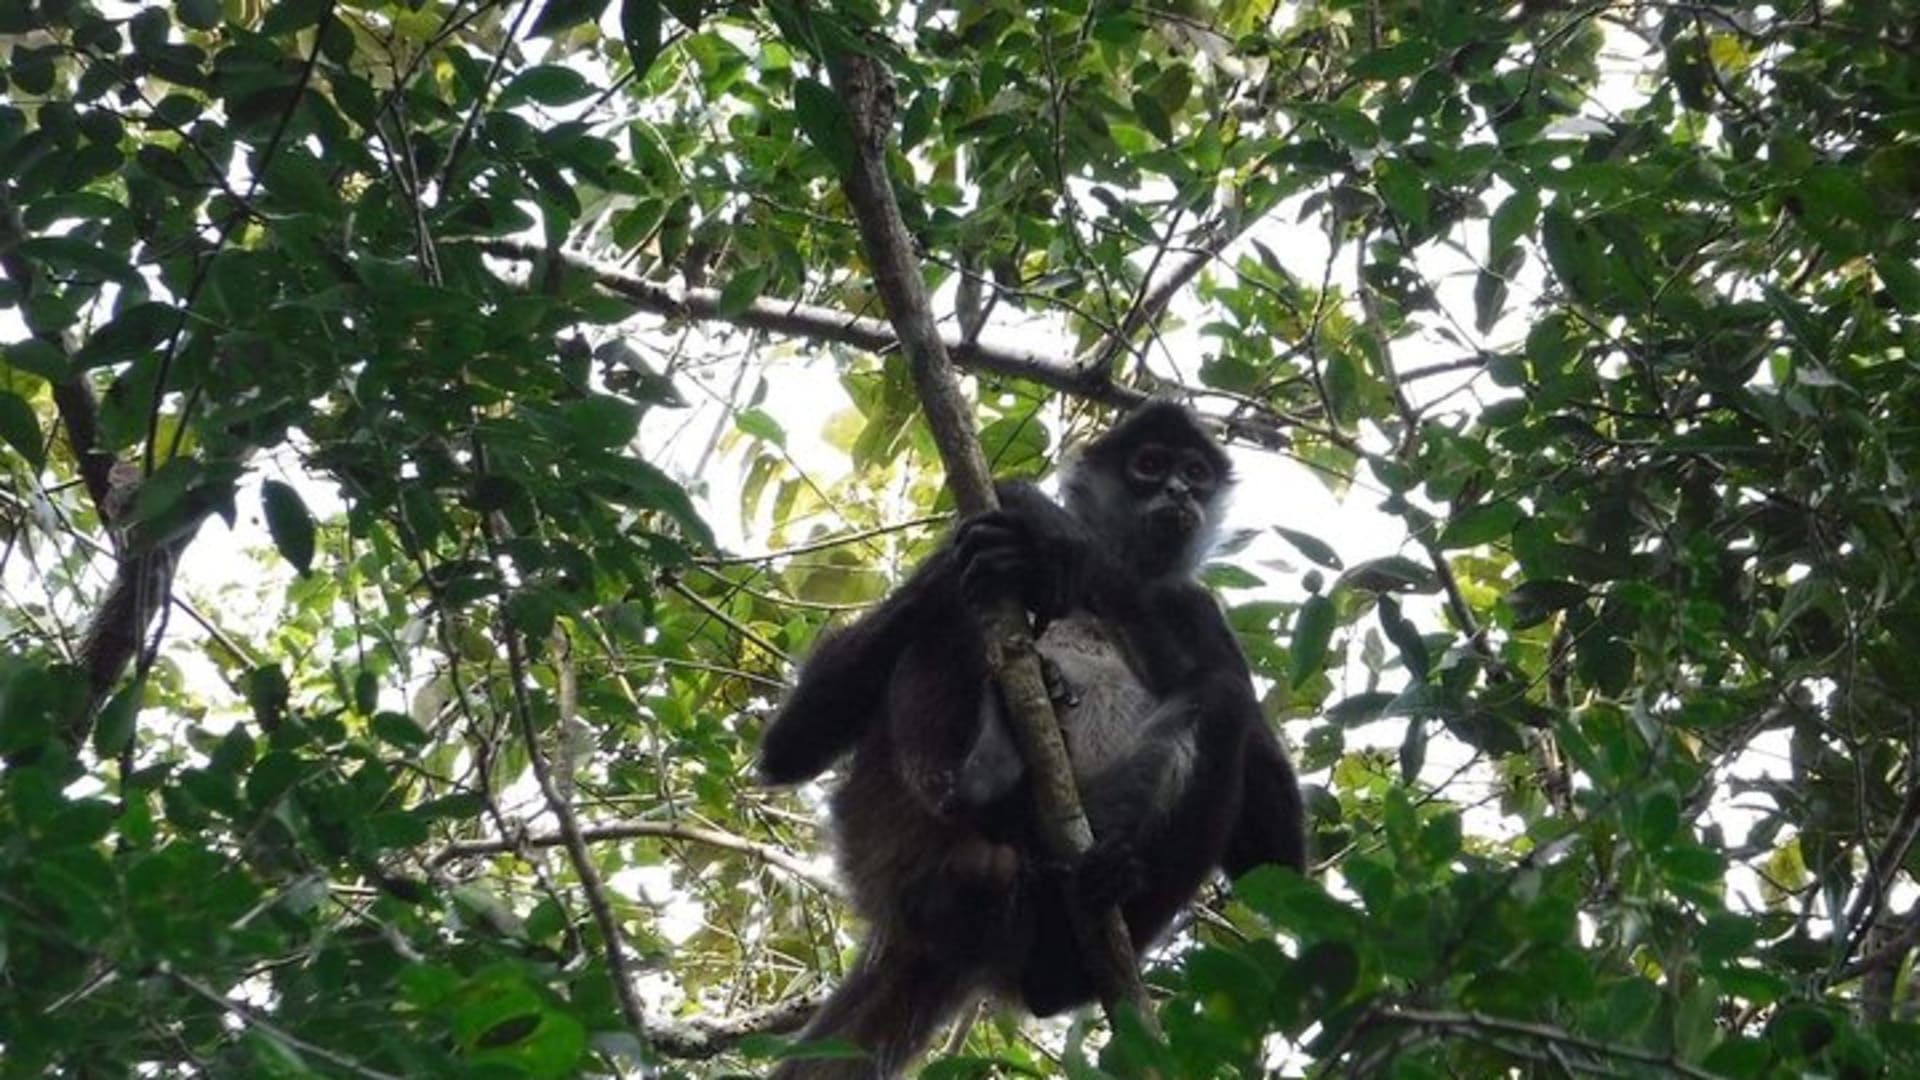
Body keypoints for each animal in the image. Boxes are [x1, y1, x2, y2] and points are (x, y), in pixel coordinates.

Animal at [757, 401, 1306, 1079]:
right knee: (948, 616)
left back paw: (1072, 930)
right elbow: (790, 745)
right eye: (1149, 465)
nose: (1180, 492)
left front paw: (1057, 534)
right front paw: (1034, 514)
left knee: (1222, 698)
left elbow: (1277, 861)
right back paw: (993, 773)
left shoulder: (1196, 606)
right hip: (887, 826)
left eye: (1196, 472)